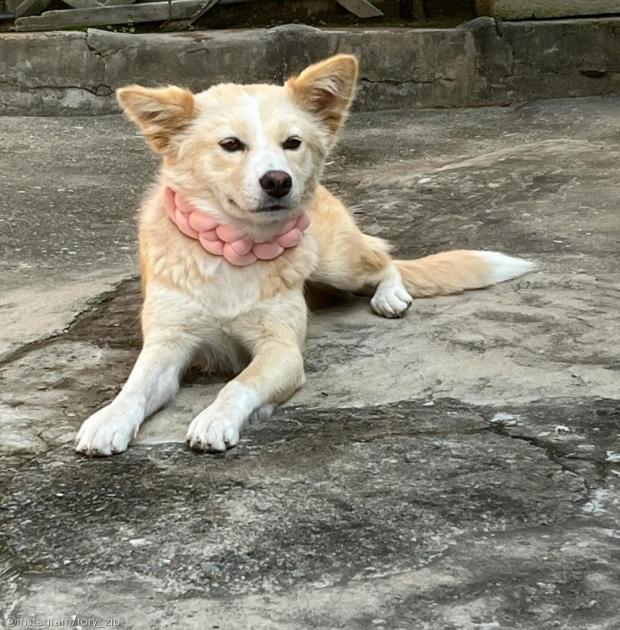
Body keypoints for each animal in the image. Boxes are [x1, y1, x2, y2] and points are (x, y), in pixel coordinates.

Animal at [76, 55, 532, 460]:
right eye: (230, 145)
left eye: (292, 143)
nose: (278, 181)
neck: (234, 246)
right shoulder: (167, 342)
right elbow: (135, 386)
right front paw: (108, 419)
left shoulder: (281, 350)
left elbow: (240, 383)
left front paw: (215, 418)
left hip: (339, 262)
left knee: (383, 258)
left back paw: (389, 295)